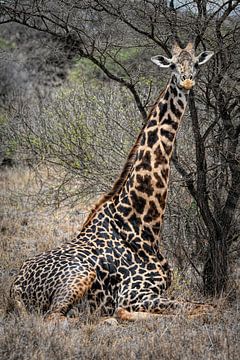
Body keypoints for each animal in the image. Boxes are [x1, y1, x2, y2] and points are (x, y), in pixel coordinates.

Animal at [9, 41, 214, 320]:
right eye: (172, 65)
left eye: (195, 64)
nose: (187, 82)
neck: (143, 225)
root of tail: (15, 287)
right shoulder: (135, 293)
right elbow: (203, 309)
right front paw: (123, 315)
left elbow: (205, 307)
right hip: (79, 276)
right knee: (55, 317)